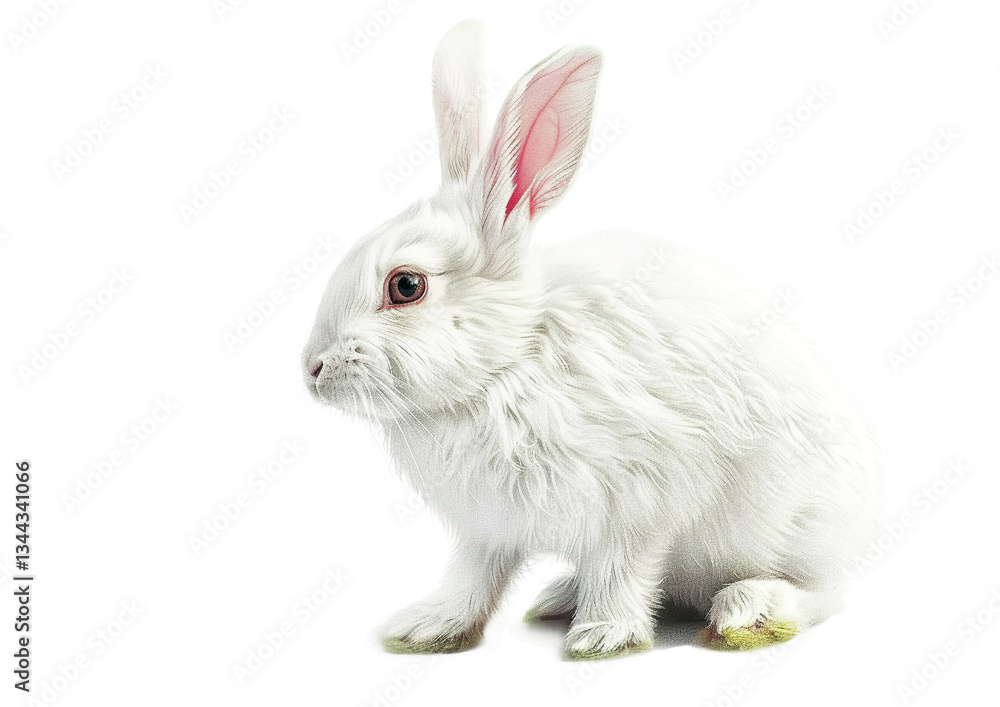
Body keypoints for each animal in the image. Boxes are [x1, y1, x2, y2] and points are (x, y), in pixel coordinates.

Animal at [301, 19, 881, 659]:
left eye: (406, 286)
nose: (312, 368)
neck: (508, 362)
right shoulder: (489, 529)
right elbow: (473, 577)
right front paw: (428, 627)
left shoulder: (641, 497)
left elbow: (621, 567)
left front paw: (604, 636)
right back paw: (557, 595)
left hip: (786, 524)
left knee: (823, 592)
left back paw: (747, 610)